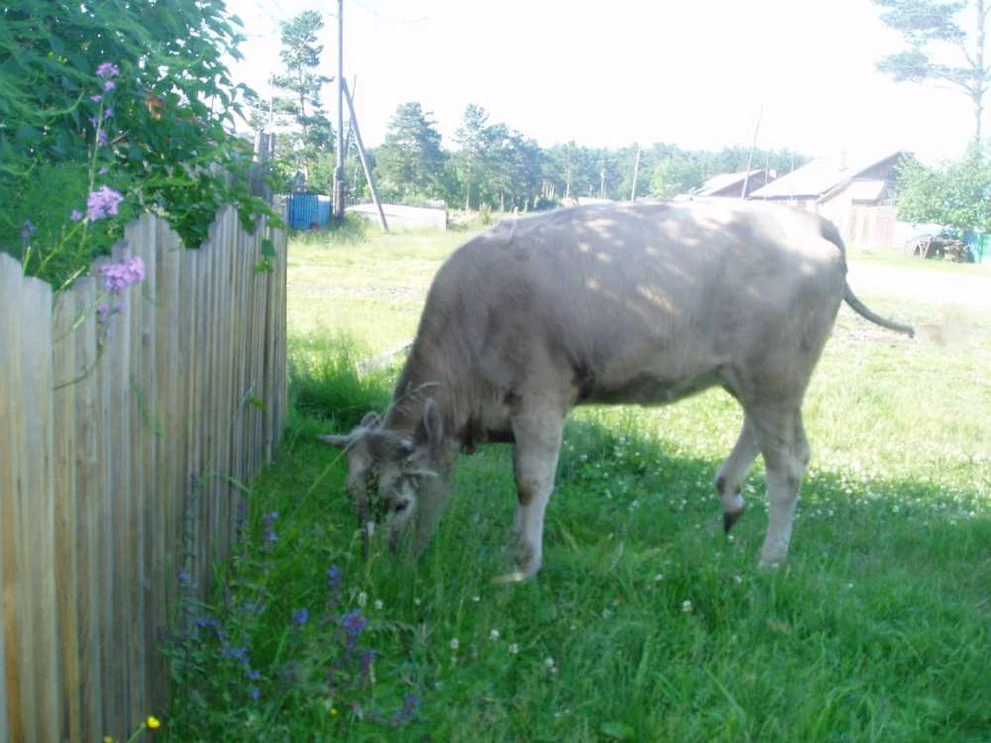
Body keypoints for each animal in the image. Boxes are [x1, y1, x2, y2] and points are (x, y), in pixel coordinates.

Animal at [319, 199, 914, 582]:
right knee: (772, 440)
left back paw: (769, 561)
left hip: (775, 376)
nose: (378, 564)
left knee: (787, 463)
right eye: (352, 497)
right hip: (760, 378)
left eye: (399, 502)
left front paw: (523, 565)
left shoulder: (540, 401)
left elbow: (531, 483)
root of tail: (805, 218)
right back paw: (730, 496)